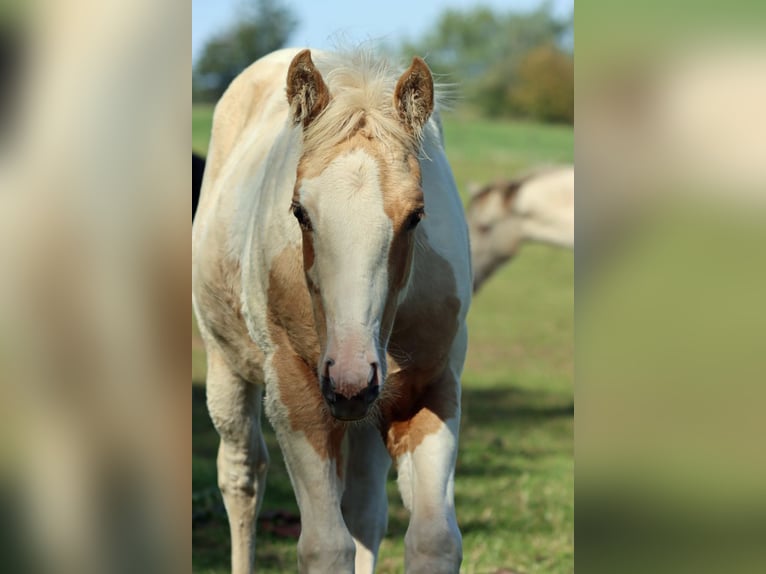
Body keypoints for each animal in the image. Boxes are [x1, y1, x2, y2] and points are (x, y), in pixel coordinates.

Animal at [192, 48, 471, 573]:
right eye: (300, 212)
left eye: (416, 216)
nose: (349, 377)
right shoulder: (295, 390)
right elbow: (324, 545)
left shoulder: (431, 388)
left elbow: (434, 540)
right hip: (227, 367)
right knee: (242, 478)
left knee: (364, 508)